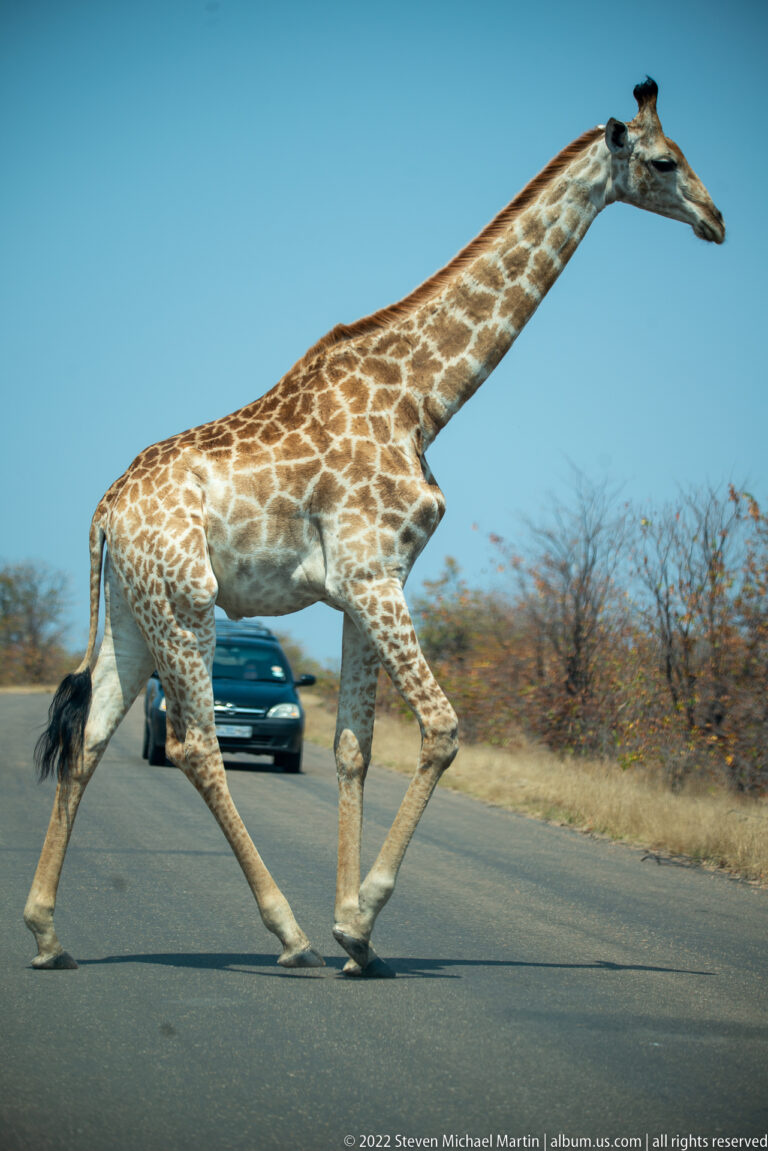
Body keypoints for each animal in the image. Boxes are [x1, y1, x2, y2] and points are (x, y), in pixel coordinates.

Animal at [27, 78, 724, 976]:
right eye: (666, 161)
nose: (718, 219)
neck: (421, 400)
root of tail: (105, 511)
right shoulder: (371, 574)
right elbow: (442, 728)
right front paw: (357, 924)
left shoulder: (365, 585)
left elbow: (352, 747)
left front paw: (357, 931)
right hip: (186, 605)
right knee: (194, 745)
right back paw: (286, 933)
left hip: (129, 612)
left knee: (89, 738)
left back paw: (48, 933)